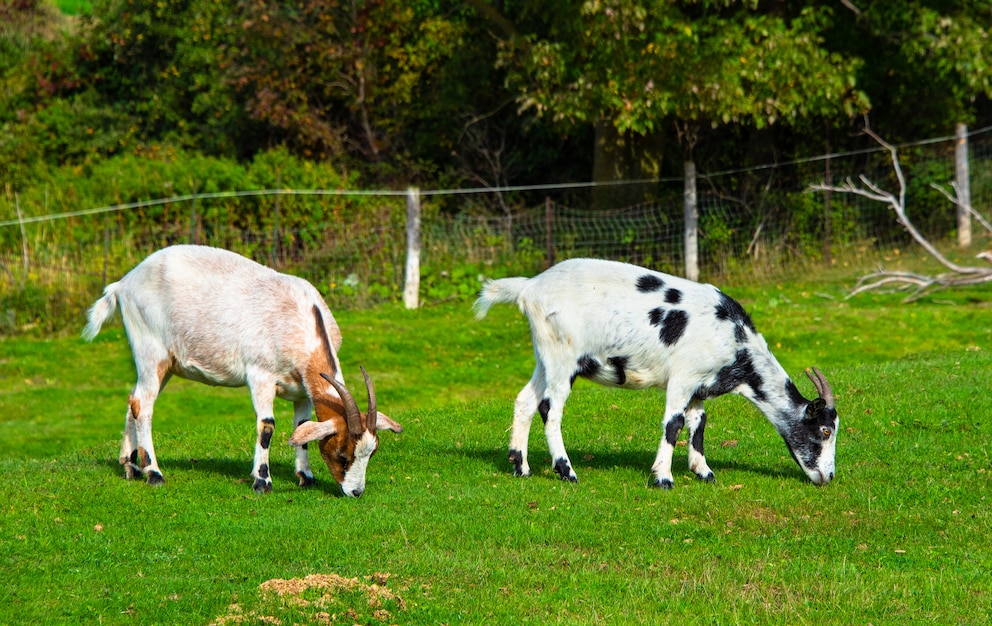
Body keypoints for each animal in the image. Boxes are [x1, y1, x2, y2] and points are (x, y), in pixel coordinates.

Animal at [84, 244, 404, 498]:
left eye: (371, 452)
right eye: (341, 453)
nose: (356, 492)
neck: (302, 320)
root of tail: (123, 284)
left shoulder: (301, 390)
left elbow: (301, 427)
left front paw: (306, 477)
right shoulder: (260, 375)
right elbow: (267, 426)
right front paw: (262, 481)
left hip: (165, 365)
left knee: (134, 400)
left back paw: (129, 466)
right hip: (151, 351)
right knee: (144, 405)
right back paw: (153, 472)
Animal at [472, 256, 836, 486]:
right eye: (824, 431)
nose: (829, 477)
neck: (735, 339)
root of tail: (529, 287)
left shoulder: (699, 386)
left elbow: (698, 423)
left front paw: (703, 472)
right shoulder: (683, 377)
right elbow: (673, 424)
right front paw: (663, 477)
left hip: (544, 355)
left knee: (526, 400)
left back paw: (521, 467)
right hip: (563, 356)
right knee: (550, 407)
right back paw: (566, 471)